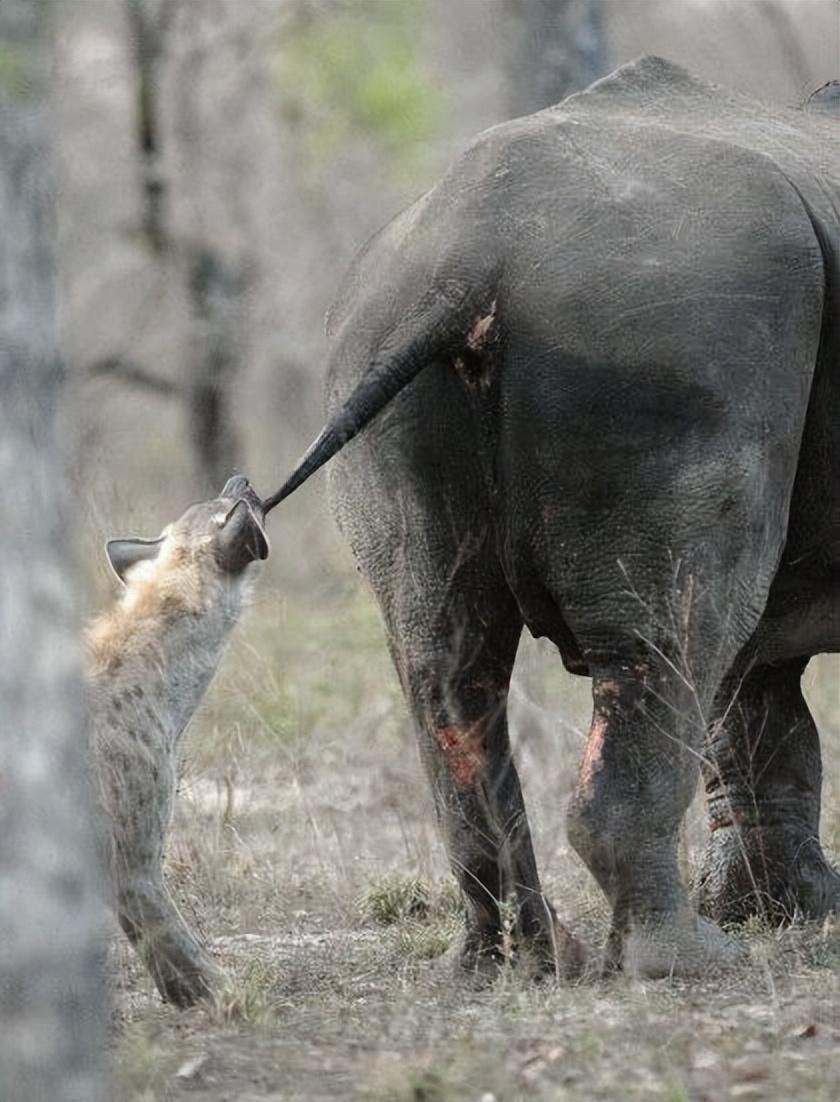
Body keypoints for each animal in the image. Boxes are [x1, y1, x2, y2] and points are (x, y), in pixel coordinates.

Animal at [263, 55, 837, 978]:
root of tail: (472, 256)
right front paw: (780, 919)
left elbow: (759, 705)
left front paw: (792, 911)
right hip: (669, 323)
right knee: (673, 636)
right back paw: (686, 963)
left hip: (370, 331)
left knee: (444, 656)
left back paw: (515, 964)